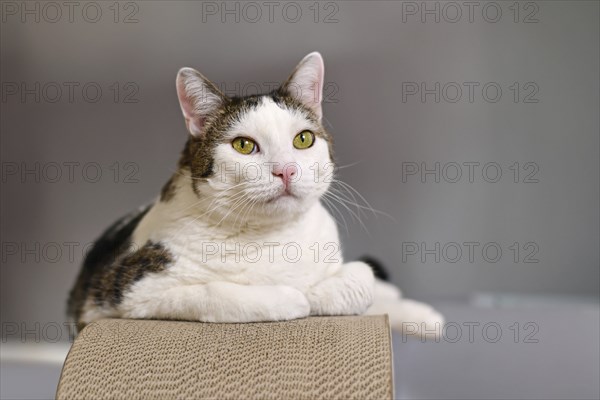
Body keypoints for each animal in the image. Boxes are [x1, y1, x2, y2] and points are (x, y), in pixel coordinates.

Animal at [69, 51, 446, 336]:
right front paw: (297, 298)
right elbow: (215, 293)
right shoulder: (125, 291)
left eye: (303, 139)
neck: (272, 237)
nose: (286, 170)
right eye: (243, 145)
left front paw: (322, 290)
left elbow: (361, 277)